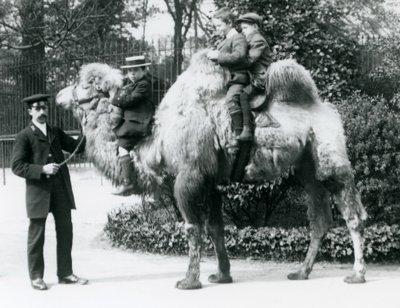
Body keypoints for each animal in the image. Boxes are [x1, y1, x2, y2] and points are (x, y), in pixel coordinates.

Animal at [54, 48, 368, 288]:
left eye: (85, 84)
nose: (58, 95)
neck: (158, 137)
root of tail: (325, 108)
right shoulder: (211, 179)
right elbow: (216, 227)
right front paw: (221, 275)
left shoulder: (189, 175)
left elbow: (193, 227)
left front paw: (189, 280)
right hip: (306, 165)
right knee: (320, 218)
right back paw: (301, 272)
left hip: (330, 156)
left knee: (353, 213)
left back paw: (357, 274)